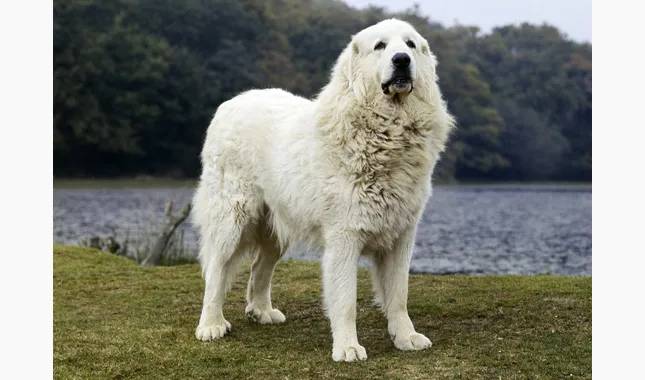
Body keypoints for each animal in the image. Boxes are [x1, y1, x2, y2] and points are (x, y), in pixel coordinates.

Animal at [191, 18, 452, 362]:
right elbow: (346, 301)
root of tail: (231, 103)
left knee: (260, 267)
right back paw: (210, 325)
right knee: (216, 271)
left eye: (410, 45)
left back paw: (262, 311)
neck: (387, 132)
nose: (401, 60)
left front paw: (405, 337)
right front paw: (348, 347)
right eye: (380, 46)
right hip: (231, 218)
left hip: (277, 224)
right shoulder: (344, 237)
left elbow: (398, 295)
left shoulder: (401, 236)